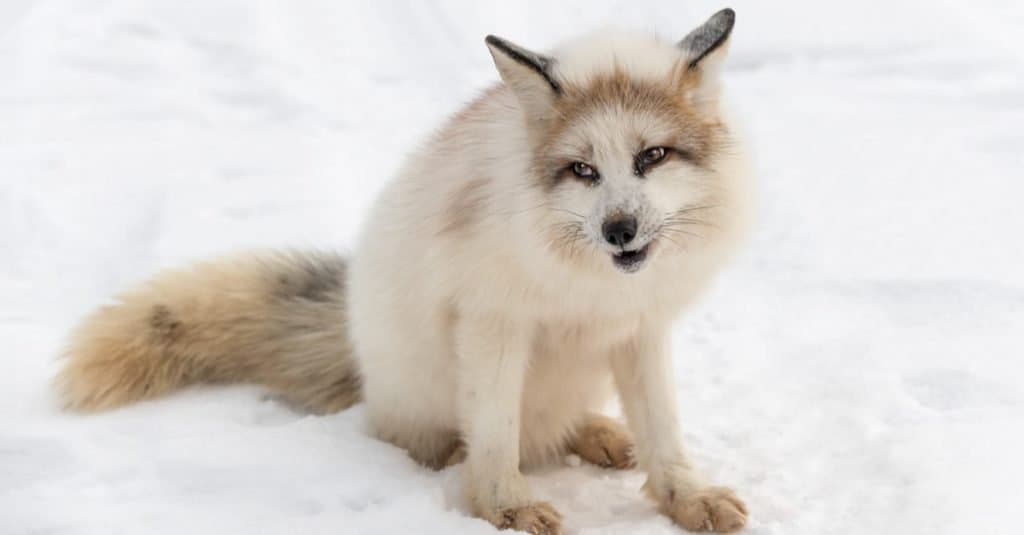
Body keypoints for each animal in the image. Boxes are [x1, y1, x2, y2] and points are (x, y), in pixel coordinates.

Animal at [56, 8, 754, 534]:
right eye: (583, 170)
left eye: (652, 156)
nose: (619, 230)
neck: (591, 288)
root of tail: (353, 339)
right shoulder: (492, 323)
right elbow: (495, 433)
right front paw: (505, 508)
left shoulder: (641, 328)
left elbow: (664, 430)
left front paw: (687, 498)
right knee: (478, 437)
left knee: (559, 424)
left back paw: (597, 433)